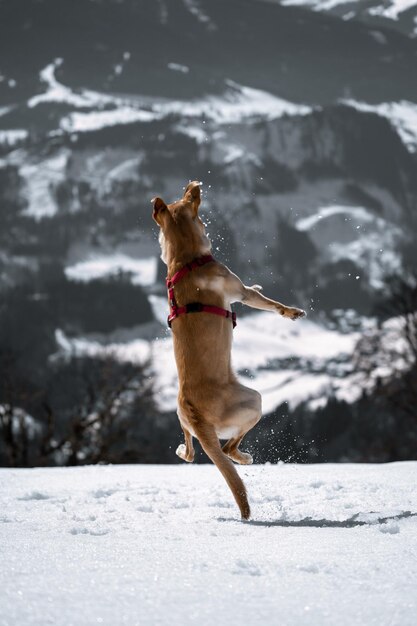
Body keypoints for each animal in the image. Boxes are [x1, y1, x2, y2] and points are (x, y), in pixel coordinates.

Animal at [153, 179, 306, 516]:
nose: (193, 185)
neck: (185, 260)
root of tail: (194, 412)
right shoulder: (241, 292)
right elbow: (268, 302)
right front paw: (290, 311)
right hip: (254, 401)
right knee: (227, 447)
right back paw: (243, 457)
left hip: (183, 420)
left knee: (191, 453)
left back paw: (183, 448)